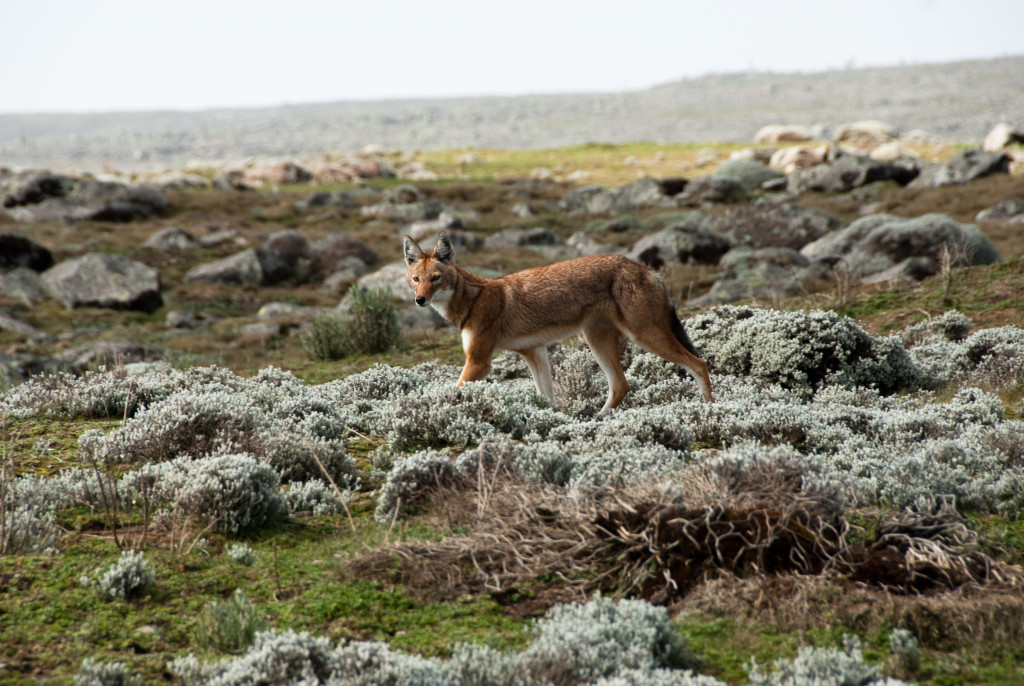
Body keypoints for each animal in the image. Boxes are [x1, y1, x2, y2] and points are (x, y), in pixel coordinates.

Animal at [401, 233, 712, 411]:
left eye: (435, 278)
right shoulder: (534, 352)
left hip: (645, 337)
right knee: (621, 386)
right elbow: (546, 400)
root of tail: (647, 270)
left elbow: (454, 390)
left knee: (699, 364)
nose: (420, 300)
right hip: (597, 341)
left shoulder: (479, 362)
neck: (473, 300)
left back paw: (710, 411)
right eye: (416, 279)